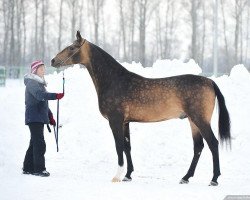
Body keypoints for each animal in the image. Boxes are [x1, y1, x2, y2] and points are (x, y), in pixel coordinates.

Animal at [50, 31, 230, 186]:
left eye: (72, 47)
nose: (53, 61)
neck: (115, 80)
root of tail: (210, 82)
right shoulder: (125, 122)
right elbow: (127, 147)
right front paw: (128, 175)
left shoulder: (115, 121)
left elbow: (119, 146)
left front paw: (117, 176)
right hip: (193, 121)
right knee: (198, 147)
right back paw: (185, 178)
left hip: (200, 120)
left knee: (213, 143)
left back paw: (214, 179)